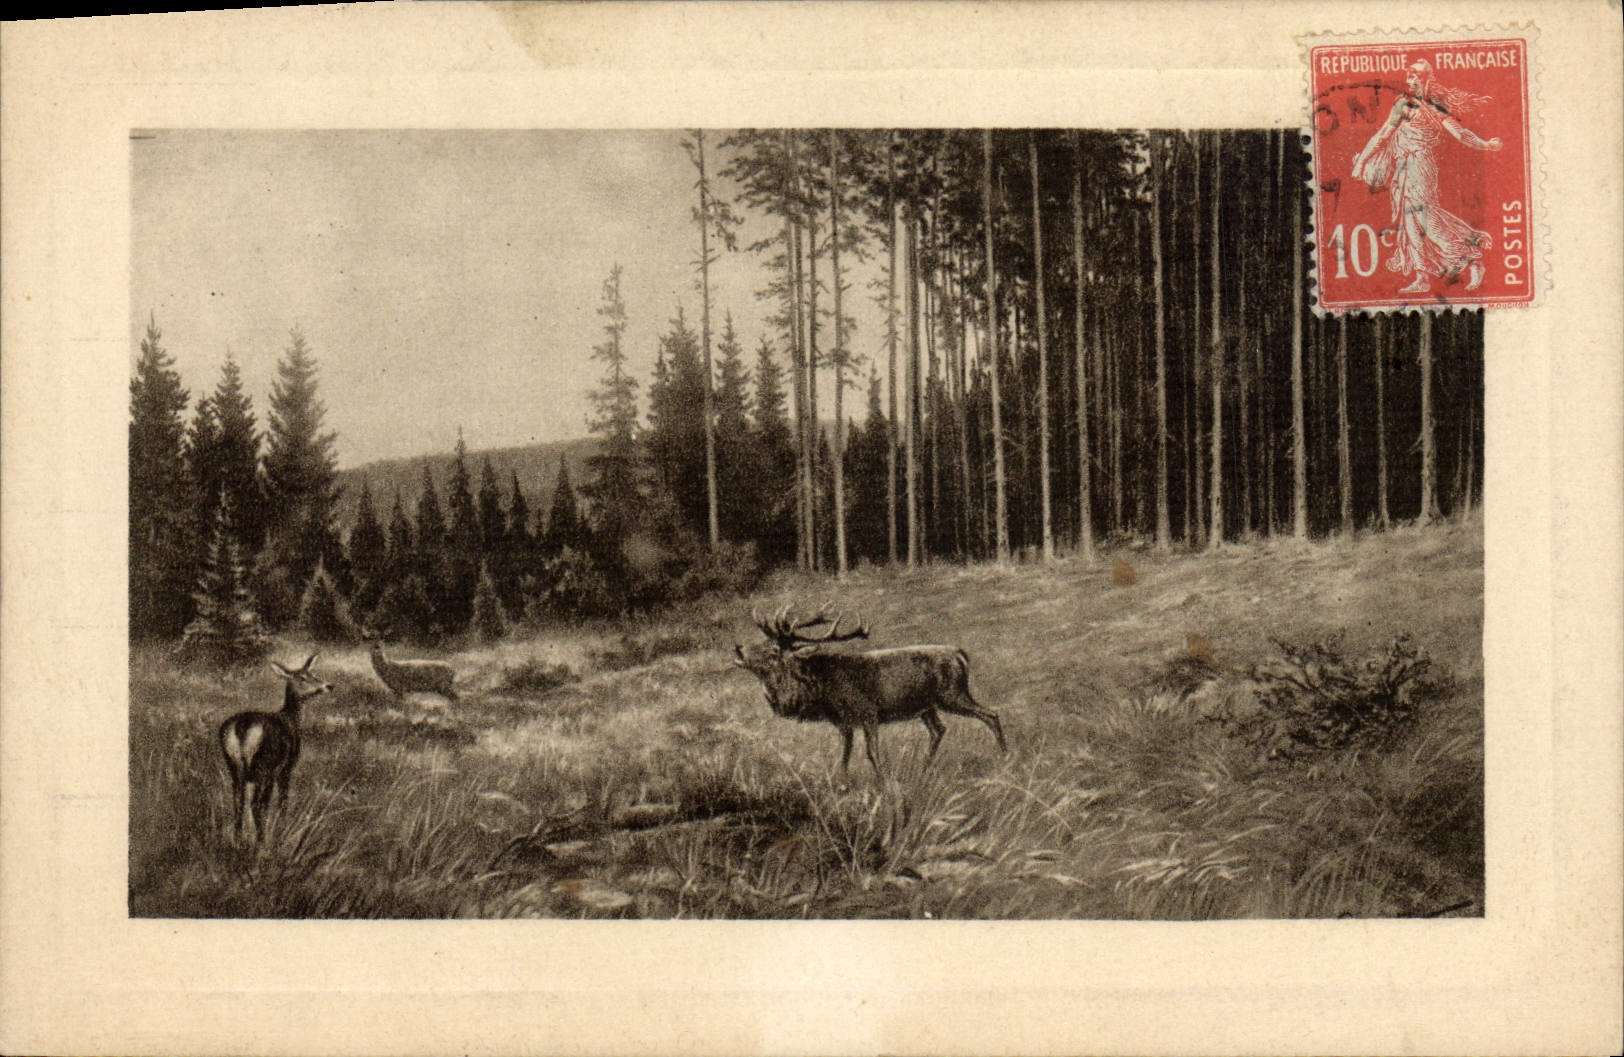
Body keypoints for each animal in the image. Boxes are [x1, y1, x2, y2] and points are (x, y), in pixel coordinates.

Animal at [218, 654, 332, 843]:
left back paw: (238, 840)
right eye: (303, 677)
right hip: (264, 766)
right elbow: (282, 802)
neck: (291, 719)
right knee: (256, 803)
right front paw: (281, 833)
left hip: (234, 765)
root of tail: (242, 728)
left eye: (313, 674)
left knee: (238, 801)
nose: (328, 686)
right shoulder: (286, 768)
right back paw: (261, 842)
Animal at [733, 605, 1007, 776]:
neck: (820, 688)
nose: (738, 648)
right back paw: (923, 770)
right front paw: (842, 785)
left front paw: (884, 784)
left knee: (991, 714)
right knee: (939, 730)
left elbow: (872, 754)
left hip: (952, 694)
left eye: (773, 650)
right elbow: (844, 756)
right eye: (762, 641)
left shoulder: (868, 712)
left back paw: (1005, 757)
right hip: (926, 707)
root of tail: (961, 653)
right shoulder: (843, 722)